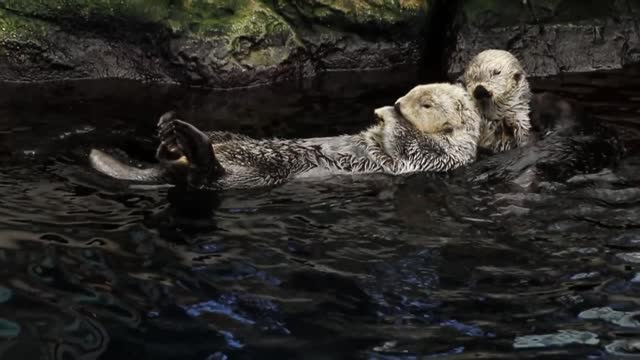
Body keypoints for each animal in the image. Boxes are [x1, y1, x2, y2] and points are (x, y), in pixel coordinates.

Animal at [89, 83, 480, 190]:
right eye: (414, 91)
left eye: (426, 103)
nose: (399, 101)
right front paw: (384, 112)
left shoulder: (435, 156)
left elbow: (406, 144)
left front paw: (387, 114)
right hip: (228, 137)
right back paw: (168, 126)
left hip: (252, 174)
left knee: (205, 174)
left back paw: (184, 138)